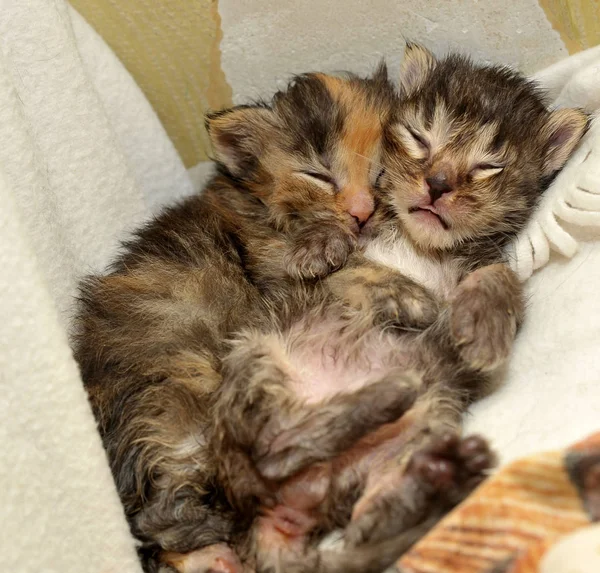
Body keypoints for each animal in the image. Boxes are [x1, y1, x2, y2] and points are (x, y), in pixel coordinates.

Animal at [72, 44, 588, 572]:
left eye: (488, 166)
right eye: (419, 139)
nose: (438, 184)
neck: (418, 245)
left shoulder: (479, 262)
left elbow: (502, 278)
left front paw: (482, 330)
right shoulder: (279, 271)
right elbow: (345, 268)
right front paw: (394, 287)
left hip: (425, 420)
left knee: (367, 525)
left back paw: (442, 472)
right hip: (233, 363)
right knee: (260, 457)